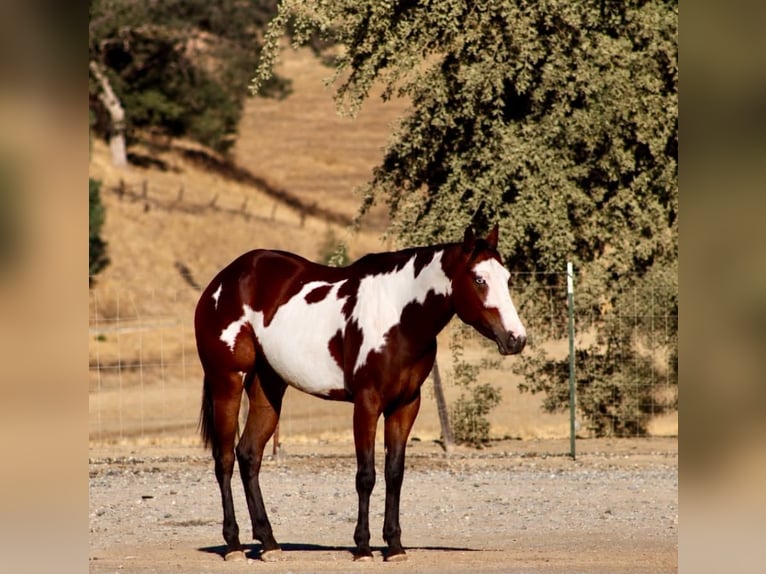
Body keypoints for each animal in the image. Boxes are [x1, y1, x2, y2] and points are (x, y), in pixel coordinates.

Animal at [194, 224, 526, 562]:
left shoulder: (406, 404)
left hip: (268, 387)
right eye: (479, 279)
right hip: (227, 382)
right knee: (224, 460)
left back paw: (269, 543)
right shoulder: (367, 403)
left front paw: (394, 546)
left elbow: (394, 473)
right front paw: (363, 547)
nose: (516, 339)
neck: (398, 317)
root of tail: (224, 280)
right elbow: (366, 475)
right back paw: (234, 545)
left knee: (249, 455)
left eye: (507, 277)